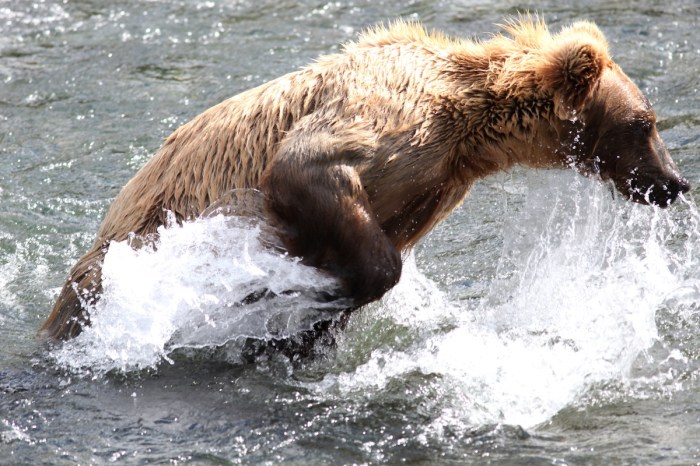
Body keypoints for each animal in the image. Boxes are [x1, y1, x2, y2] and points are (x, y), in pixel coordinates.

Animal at [41, 17, 690, 343]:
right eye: (645, 122)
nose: (676, 182)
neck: (470, 125)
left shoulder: (434, 186)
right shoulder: (391, 119)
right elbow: (308, 170)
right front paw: (306, 297)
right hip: (121, 254)